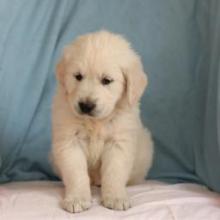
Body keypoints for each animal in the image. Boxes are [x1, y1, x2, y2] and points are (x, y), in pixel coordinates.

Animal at [51, 30, 153, 212]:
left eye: (106, 80)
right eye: (78, 76)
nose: (86, 105)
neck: (95, 122)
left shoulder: (118, 142)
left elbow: (114, 172)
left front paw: (116, 198)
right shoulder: (70, 141)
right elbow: (76, 173)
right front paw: (77, 199)